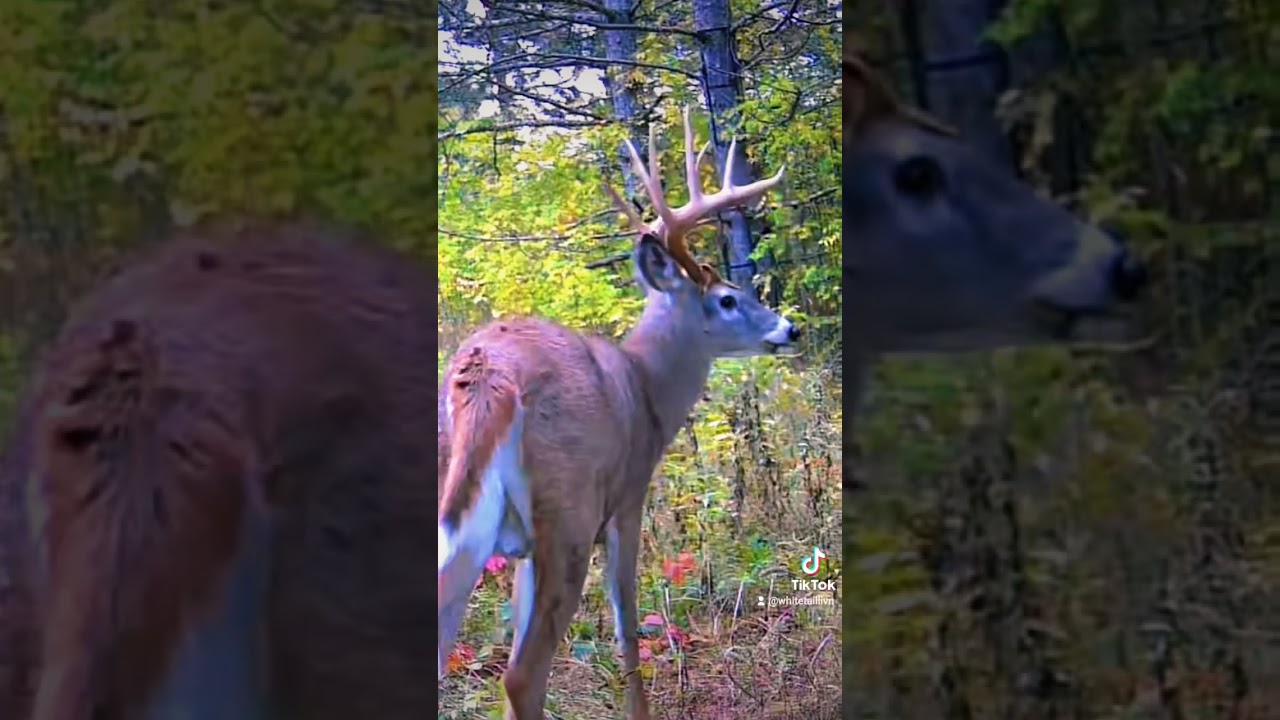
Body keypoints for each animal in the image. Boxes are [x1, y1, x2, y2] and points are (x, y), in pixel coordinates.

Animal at [436, 107, 798, 720]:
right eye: (726, 299)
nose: (788, 328)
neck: (647, 388)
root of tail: (484, 371)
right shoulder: (628, 500)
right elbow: (627, 622)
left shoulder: (520, 550)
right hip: (570, 511)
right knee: (522, 675)